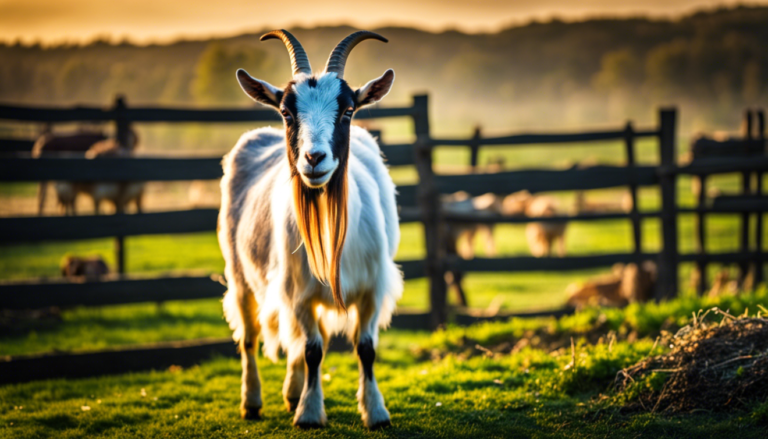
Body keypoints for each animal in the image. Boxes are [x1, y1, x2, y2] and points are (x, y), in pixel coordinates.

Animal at [218, 30, 402, 430]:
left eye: (348, 111)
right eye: (287, 112)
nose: (314, 159)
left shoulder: (371, 288)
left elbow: (365, 348)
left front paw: (376, 412)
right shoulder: (298, 292)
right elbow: (313, 349)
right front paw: (310, 413)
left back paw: (290, 391)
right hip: (240, 276)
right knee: (251, 337)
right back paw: (252, 401)